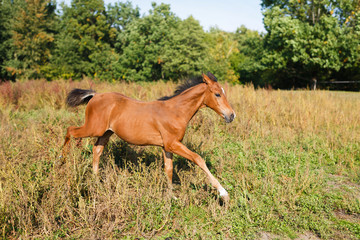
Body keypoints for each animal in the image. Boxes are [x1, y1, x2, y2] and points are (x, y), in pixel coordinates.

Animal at [62, 71, 236, 201]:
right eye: (217, 94)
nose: (231, 115)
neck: (176, 112)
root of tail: (95, 95)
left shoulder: (167, 146)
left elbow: (169, 169)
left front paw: (171, 197)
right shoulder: (173, 144)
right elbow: (198, 158)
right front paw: (223, 193)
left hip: (106, 133)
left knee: (96, 150)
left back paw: (96, 181)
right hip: (94, 128)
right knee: (70, 131)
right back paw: (61, 161)